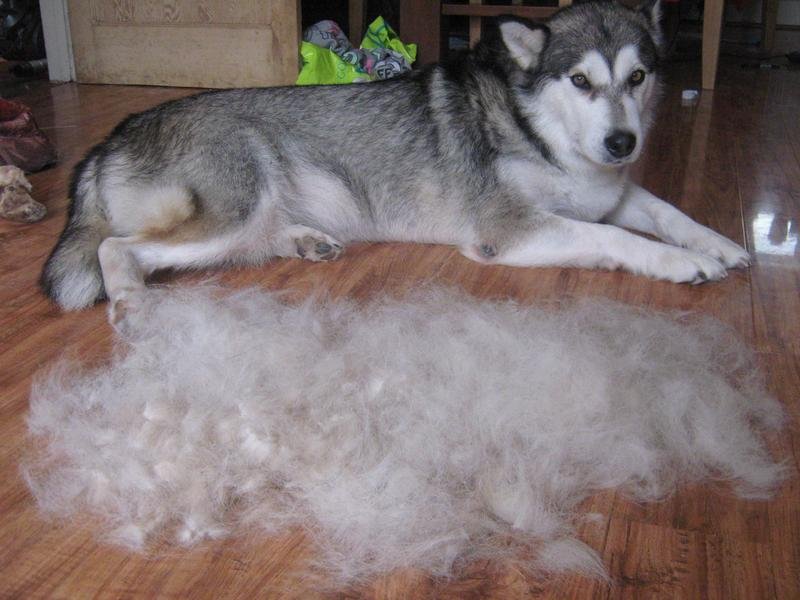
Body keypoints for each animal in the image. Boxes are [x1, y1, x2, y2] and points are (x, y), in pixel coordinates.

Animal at [40, 0, 748, 326]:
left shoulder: (610, 190)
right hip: (236, 204)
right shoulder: (512, 229)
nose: (622, 144)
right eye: (580, 81)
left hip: (247, 218)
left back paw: (307, 241)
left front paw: (720, 244)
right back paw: (129, 300)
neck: (536, 130)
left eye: (638, 77)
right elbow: (616, 238)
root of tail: (108, 139)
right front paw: (681, 263)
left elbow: (667, 211)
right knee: (116, 248)